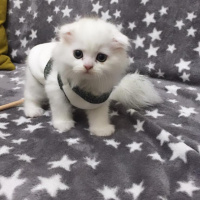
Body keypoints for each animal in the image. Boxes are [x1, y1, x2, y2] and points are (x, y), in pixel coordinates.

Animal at [24, 18, 162, 137]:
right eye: (77, 54)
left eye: (101, 57)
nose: (88, 66)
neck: (85, 83)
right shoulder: (56, 89)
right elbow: (60, 109)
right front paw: (63, 124)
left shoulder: (99, 99)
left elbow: (99, 116)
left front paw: (101, 130)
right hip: (36, 85)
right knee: (30, 97)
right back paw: (33, 111)